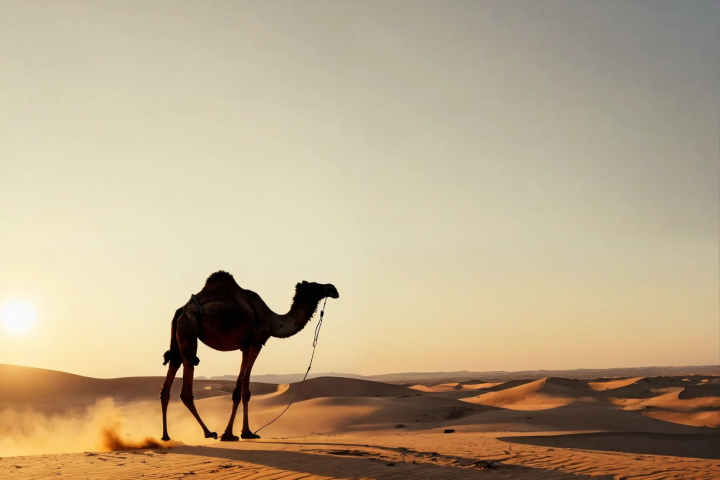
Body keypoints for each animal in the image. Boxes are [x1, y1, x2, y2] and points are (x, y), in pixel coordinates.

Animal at [159, 271, 339, 442]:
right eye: (315, 286)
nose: (333, 288)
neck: (273, 320)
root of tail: (181, 310)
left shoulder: (244, 348)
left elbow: (238, 388)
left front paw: (231, 434)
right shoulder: (255, 343)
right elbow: (246, 386)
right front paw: (245, 433)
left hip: (178, 336)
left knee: (169, 378)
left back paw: (166, 436)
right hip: (189, 329)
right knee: (186, 383)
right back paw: (209, 433)